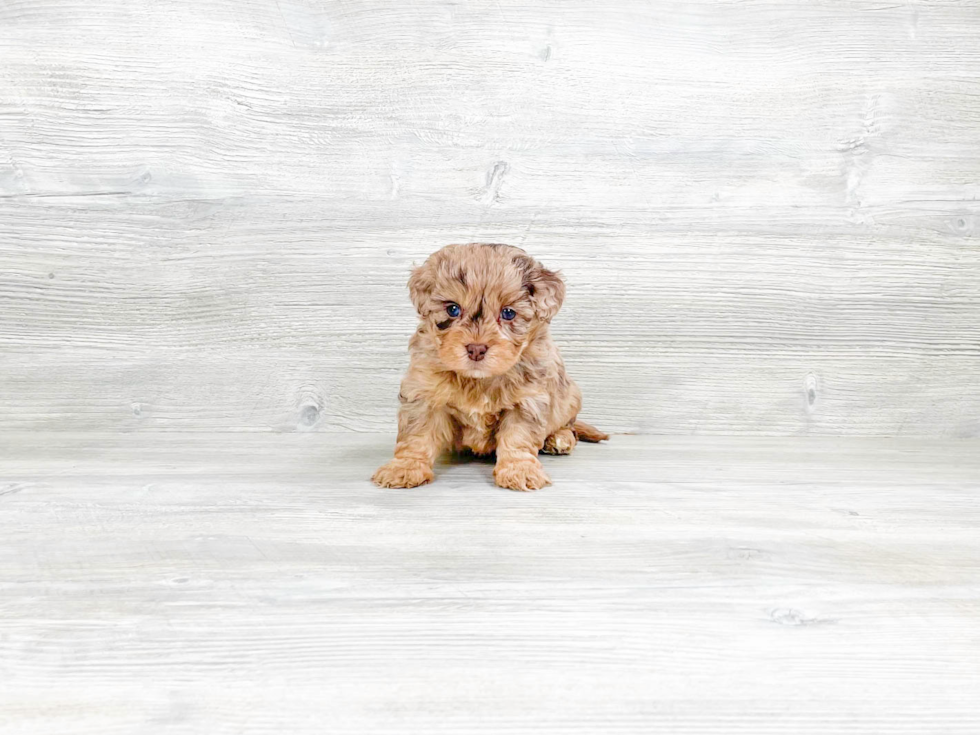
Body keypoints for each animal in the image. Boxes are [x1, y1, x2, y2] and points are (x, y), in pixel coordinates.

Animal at [374, 244, 608, 492]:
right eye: (453, 309)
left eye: (508, 313)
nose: (476, 349)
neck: (478, 379)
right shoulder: (424, 392)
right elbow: (417, 435)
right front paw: (405, 467)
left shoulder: (527, 400)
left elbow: (518, 437)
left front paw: (519, 470)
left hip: (569, 397)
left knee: (568, 425)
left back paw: (559, 439)